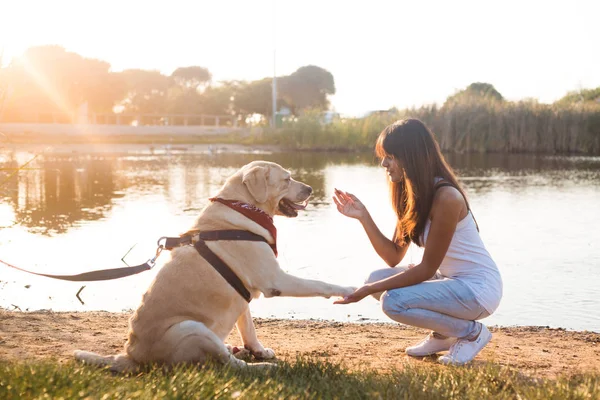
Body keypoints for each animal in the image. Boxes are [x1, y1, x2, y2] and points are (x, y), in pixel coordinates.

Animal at [75, 160, 356, 372]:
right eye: (287, 179)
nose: (310, 188)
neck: (243, 207)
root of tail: (132, 356)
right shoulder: (275, 279)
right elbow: (319, 283)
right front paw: (347, 290)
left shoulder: (244, 297)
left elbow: (249, 328)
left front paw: (259, 350)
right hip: (191, 327)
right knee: (231, 365)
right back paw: (260, 367)